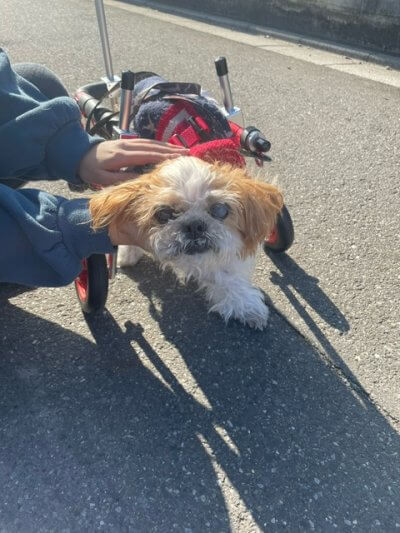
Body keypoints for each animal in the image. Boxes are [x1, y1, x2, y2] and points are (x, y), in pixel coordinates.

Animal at [90, 155, 284, 328]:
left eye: (220, 210)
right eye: (164, 214)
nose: (194, 225)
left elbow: (229, 276)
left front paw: (246, 306)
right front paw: (127, 254)